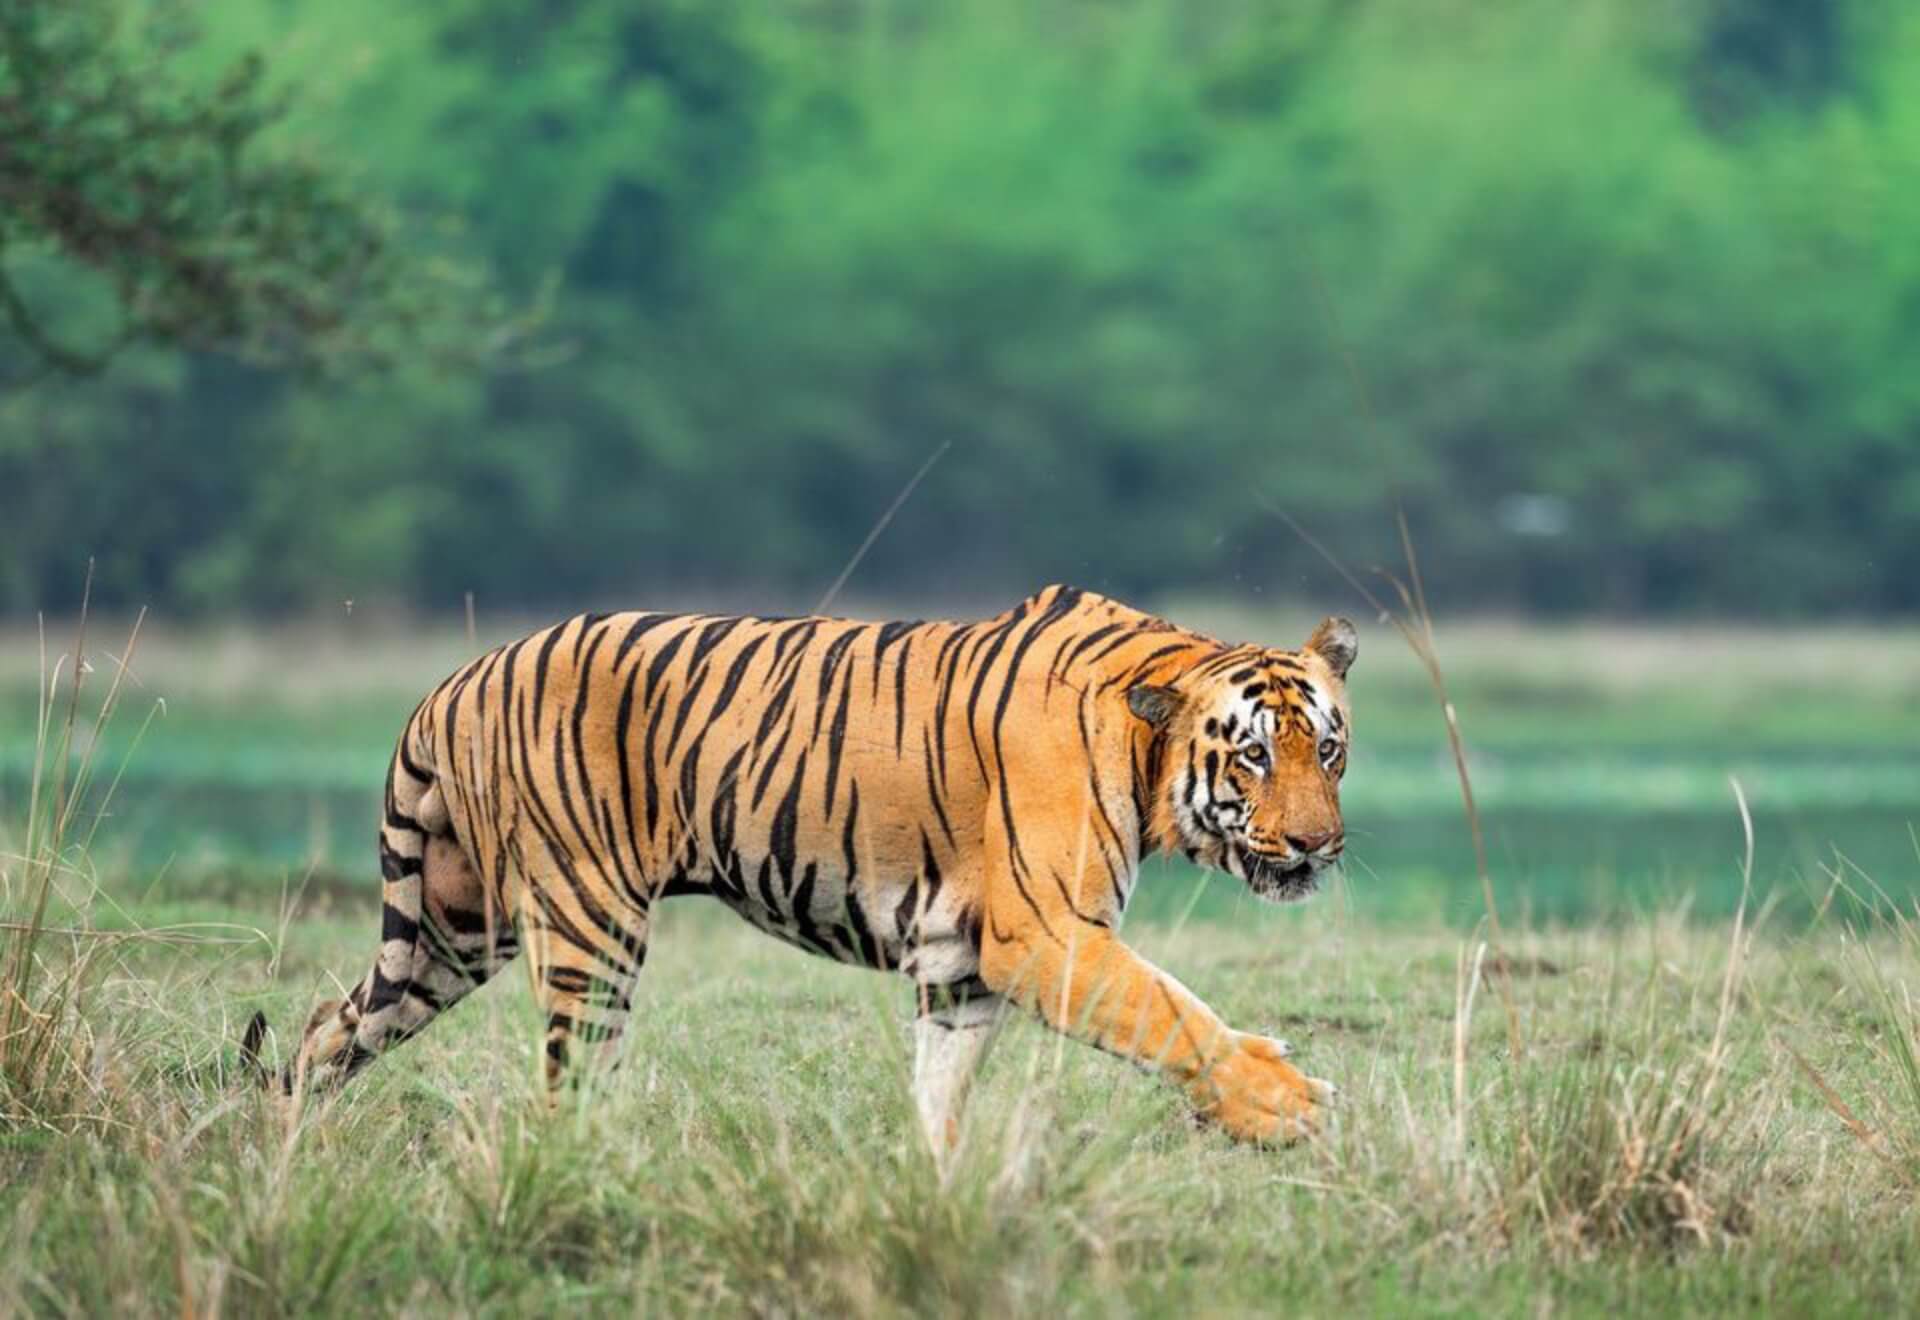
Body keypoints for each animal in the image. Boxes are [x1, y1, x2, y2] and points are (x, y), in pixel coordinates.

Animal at [247, 587, 1359, 1166]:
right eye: (1253, 758)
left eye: (1328, 750)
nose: (1317, 846)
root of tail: (455, 678)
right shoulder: (1040, 931)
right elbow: (1173, 1013)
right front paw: (1286, 1104)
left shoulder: (962, 965)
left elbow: (942, 1087)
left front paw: (939, 1185)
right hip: (586, 926)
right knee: (569, 1084)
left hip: (448, 927)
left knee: (327, 1029)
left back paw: (277, 1147)